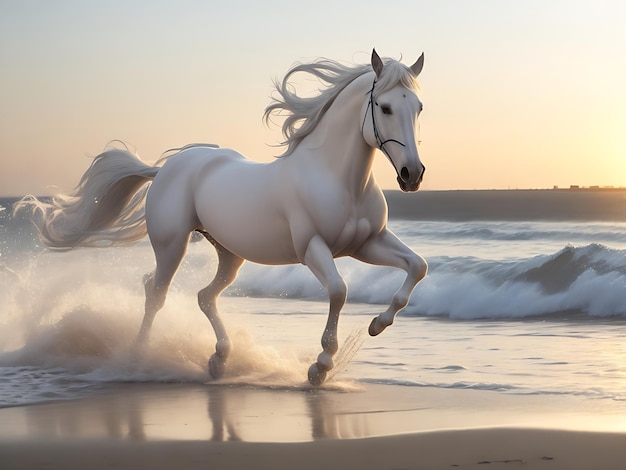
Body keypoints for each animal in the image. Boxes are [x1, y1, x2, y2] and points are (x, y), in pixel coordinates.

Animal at [20, 48, 428, 386]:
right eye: (386, 108)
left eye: (419, 107)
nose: (412, 175)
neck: (336, 177)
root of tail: (165, 169)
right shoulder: (312, 248)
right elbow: (340, 291)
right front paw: (320, 367)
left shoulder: (367, 243)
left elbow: (417, 267)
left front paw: (377, 325)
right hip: (172, 246)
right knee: (155, 293)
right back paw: (138, 357)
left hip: (229, 254)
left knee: (204, 296)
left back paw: (218, 360)